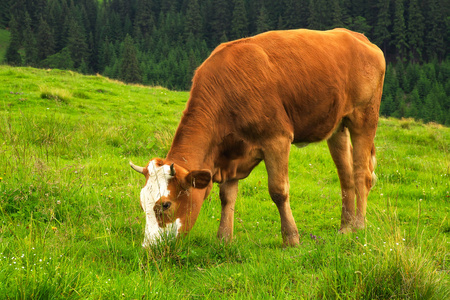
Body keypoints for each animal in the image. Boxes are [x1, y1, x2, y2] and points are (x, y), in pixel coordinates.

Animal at [131, 28, 386, 247]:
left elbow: (278, 191)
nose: (148, 247)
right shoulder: (230, 153)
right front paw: (224, 238)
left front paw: (291, 239)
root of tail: (357, 36)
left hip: (365, 116)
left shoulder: (277, 138)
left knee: (361, 174)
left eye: (165, 204)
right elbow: (227, 196)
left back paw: (359, 226)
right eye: (142, 202)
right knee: (346, 177)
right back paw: (346, 228)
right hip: (337, 126)